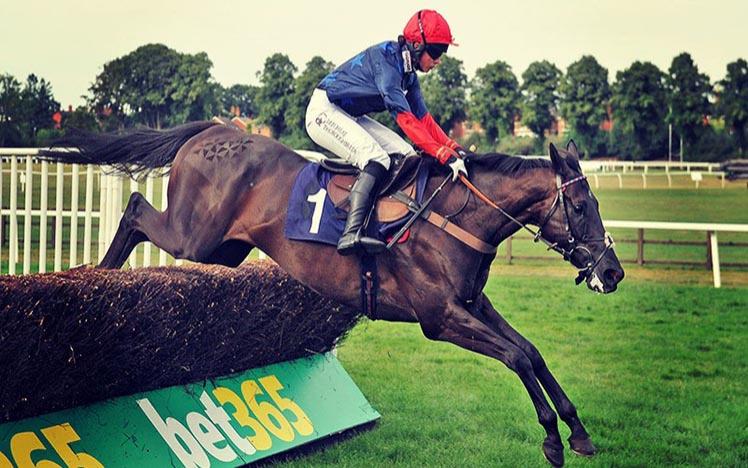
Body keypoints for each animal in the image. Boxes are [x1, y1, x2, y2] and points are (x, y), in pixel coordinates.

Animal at [42, 122, 624, 466]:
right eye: (579, 208)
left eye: (596, 204)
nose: (613, 272)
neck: (455, 215)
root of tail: (216, 128)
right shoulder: (440, 318)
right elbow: (517, 358)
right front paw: (551, 438)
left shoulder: (473, 304)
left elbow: (532, 352)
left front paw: (577, 431)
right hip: (194, 234)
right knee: (136, 207)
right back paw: (97, 278)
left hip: (224, 249)